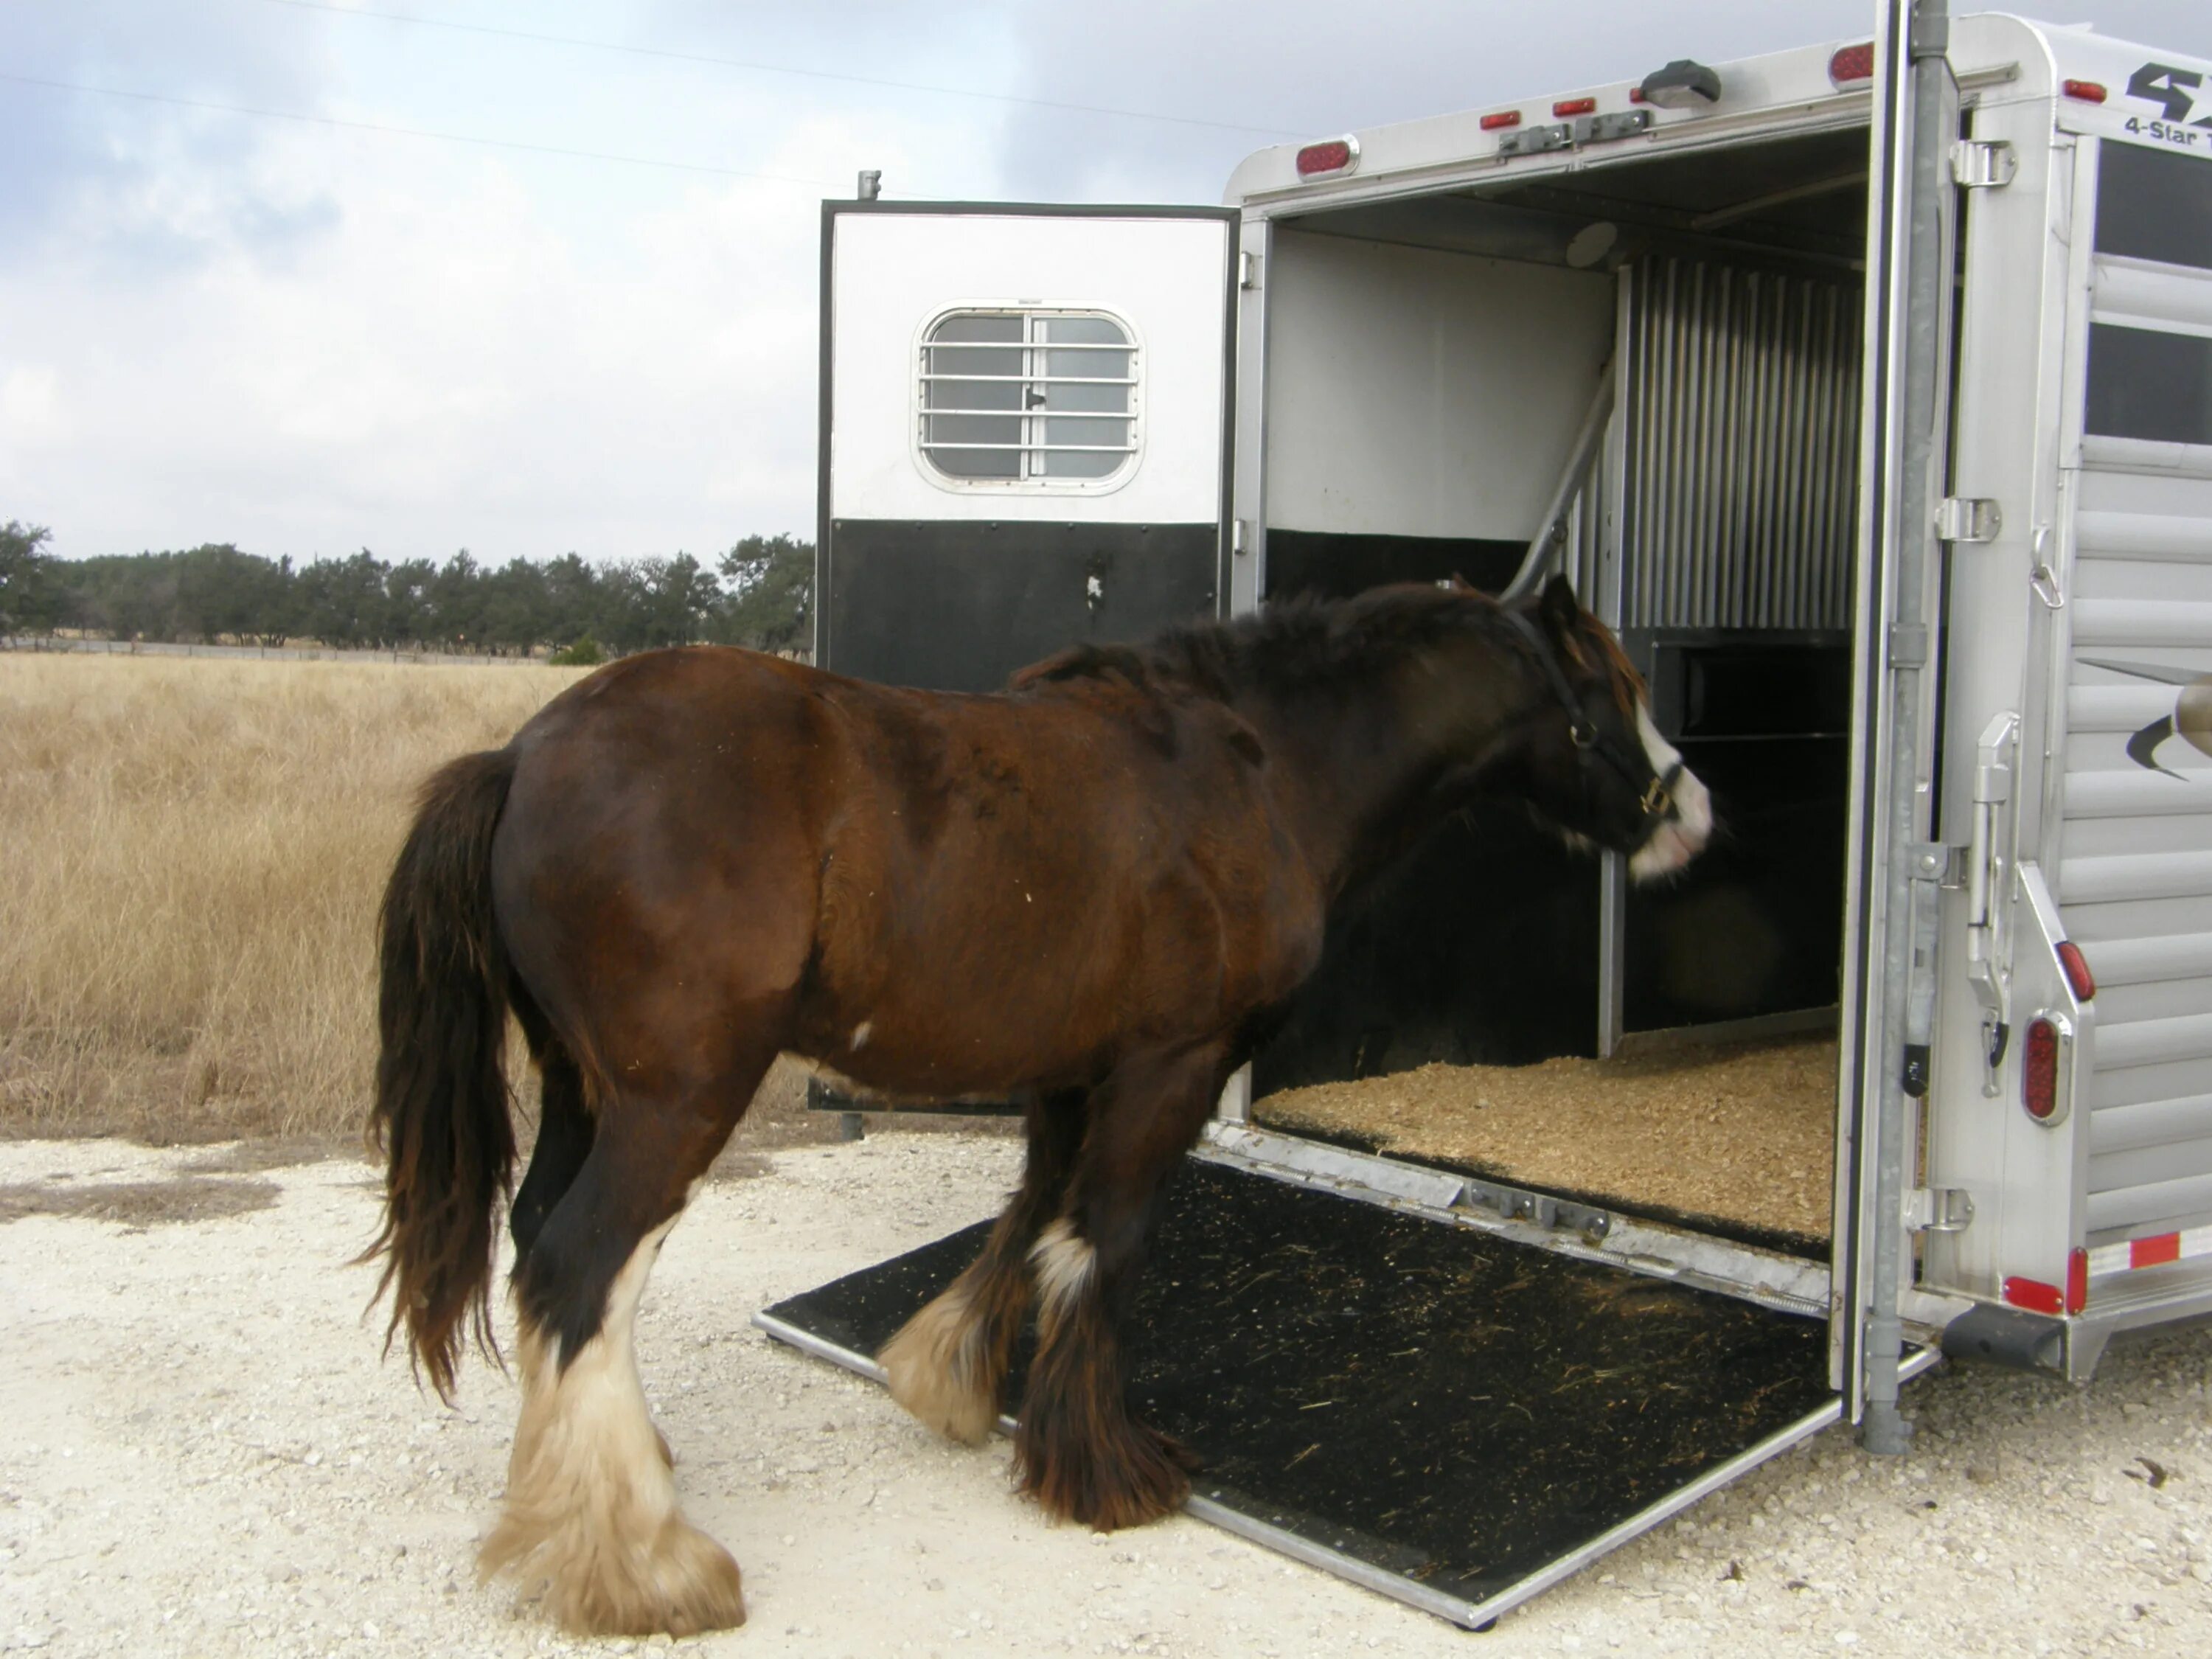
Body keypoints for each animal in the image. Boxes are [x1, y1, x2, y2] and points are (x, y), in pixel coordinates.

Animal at [367, 571, 1708, 1637]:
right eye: (1615, 684)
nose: (1692, 810)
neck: (1258, 760)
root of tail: (522, 755)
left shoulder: (1071, 1068)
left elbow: (1036, 1220)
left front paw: (951, 1379)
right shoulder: (1170, 1063)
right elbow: (1105, 1242)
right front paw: (1106, 1473)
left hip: (581, 1090)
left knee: (539, 1246)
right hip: (672, 1104)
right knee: (581, 1270)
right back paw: (641, 1568)